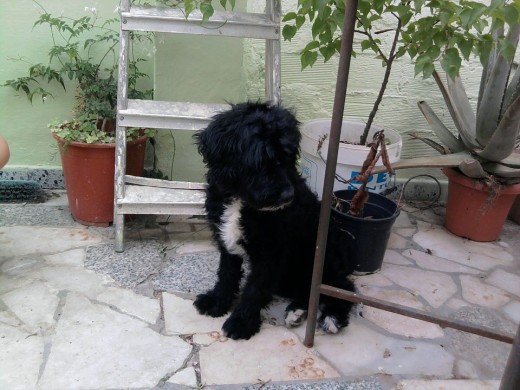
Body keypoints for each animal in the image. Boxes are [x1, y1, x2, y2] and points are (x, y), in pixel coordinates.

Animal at [193, 102, 356, 340]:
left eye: (287, 158)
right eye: (261, 160)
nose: (288, 196)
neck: (241, 199)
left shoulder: (271, 250)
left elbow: (255, 288)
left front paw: (241, 323)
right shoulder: (226, 239)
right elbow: (226, 273)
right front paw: (217, 301)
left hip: (322, 257)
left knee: (342, 287)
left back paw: (332, 317)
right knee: (307, 289)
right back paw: (297, 311)